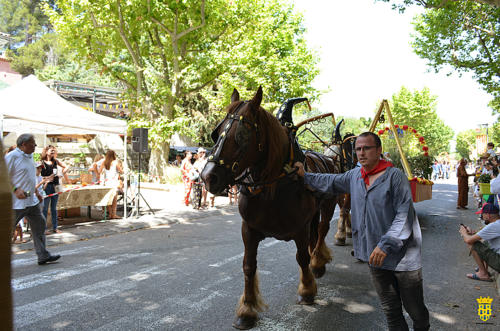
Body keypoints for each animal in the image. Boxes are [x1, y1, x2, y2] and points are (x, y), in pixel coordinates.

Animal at [201, 87, 342, 330]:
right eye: (216, 133)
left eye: (243, 135)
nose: (208, 176)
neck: (274, 186)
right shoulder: (248, 229)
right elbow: (248, 266)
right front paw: (247, 309)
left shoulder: (300, 228)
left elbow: (302, 258)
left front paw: (307, 290)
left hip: (328, 204)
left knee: (322, 230)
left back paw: (318, 261)